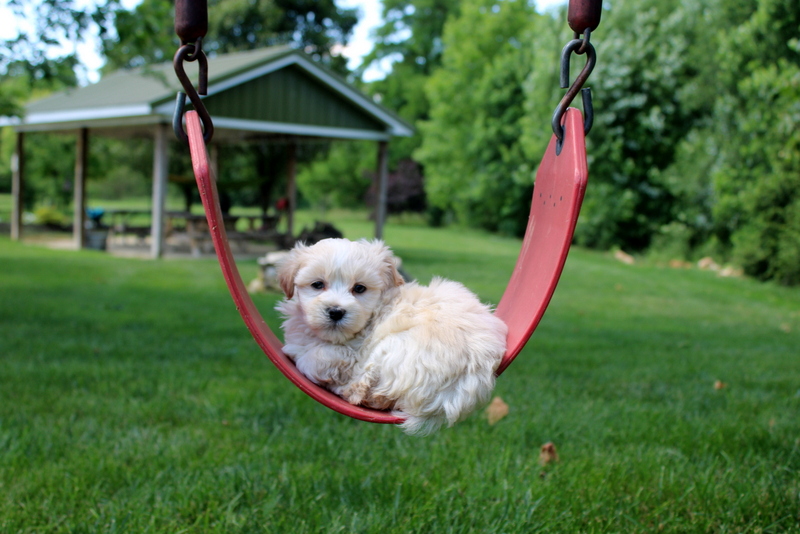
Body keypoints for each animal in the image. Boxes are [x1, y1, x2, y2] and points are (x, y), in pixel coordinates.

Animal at [276, 239, 506, 436]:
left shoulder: (350, 355)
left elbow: (312, 358)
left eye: (359, 288)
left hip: (395, 349)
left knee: (367, 391)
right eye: (317, 284)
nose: (336, 311)